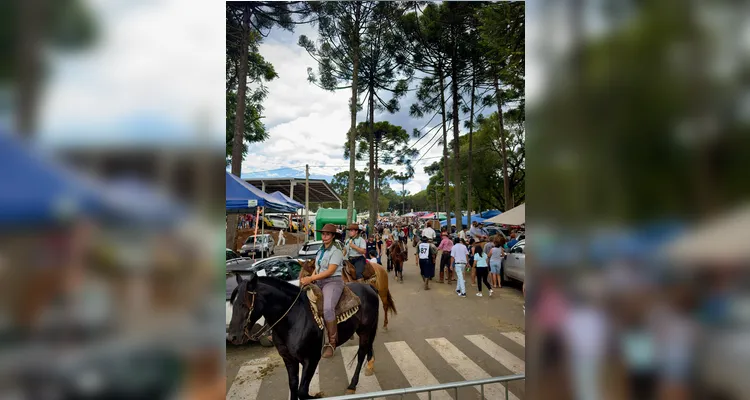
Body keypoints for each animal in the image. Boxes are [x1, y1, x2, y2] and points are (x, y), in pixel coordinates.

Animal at [229, 274, 382, 398]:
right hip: (365, 330)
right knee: (368, 346)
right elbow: (293, 387)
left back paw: (352, 385)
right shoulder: (289, 359)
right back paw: (370, 366)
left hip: (365, 330)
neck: (294, 318)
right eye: (232, 304)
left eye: (243, 304)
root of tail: (368, 287)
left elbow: (302, 392)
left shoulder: (311, 360)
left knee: (361, 353)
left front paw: (318, 395)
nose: (232, 337)